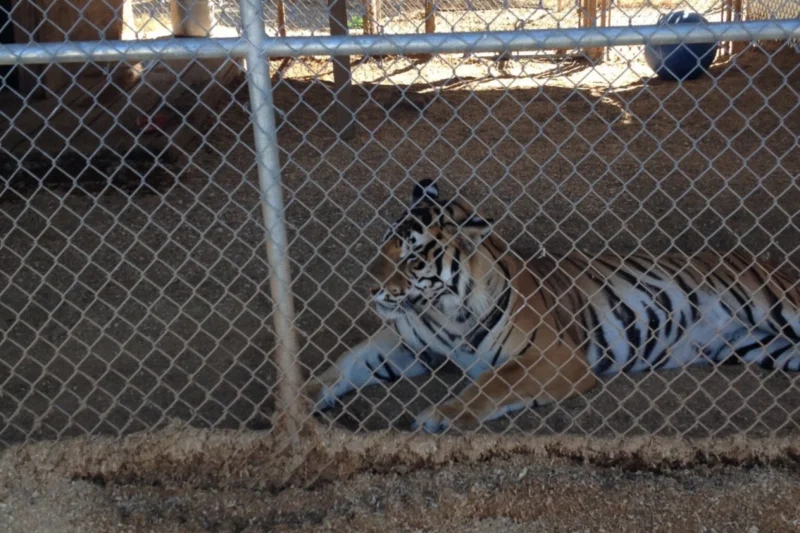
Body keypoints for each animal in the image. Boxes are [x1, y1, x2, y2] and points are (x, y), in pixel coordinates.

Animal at [305, 179, 800, 433]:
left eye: (411, 257)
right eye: (384, 245)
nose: (370, 288)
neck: (447, 311)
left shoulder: (556, 357)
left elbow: (494, 383)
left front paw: (440, 417)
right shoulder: (407, 344)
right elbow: (346, 363)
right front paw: (304, 395)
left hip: (781, 309)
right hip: (765, 347)